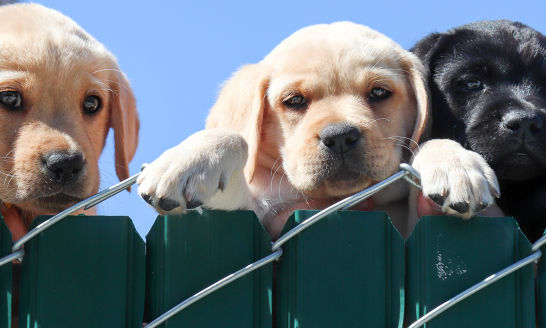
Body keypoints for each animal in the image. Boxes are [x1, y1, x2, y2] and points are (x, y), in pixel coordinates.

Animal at [137, 22, 498, 238]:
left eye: (379, 93)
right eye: (295, 101)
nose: (339, 137)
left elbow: (428, 147)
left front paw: (455, 165)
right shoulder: (261, 217)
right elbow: (234, 139)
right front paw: (188, 160)